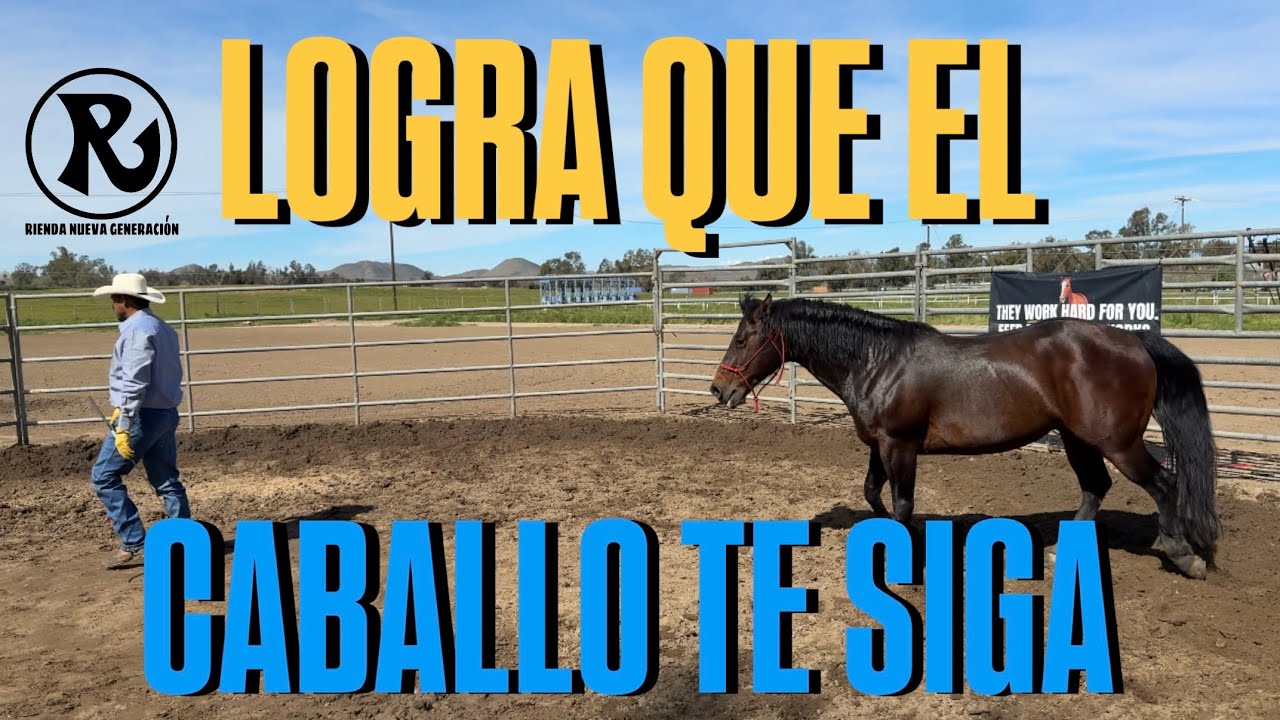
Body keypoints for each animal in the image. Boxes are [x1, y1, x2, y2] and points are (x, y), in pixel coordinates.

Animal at [709, 293, 1220, 580]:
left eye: (741, 339)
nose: (720, 390)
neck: (876, 361)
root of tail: (1135, 342)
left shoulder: (901, 446)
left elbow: (901, 503)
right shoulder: (879, 445)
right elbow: (873, 494)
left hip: (1119, 443)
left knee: (1164, 485)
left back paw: (1184, 557)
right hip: (1078, 439)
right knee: (1095, 488)